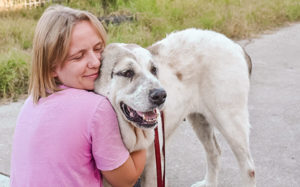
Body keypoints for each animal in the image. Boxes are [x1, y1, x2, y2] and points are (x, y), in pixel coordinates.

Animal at [94, 28, 255, 187]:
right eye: (127, 72)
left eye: (154, 70)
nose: (160, 95)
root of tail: (235, 45)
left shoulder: (154, 166)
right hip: (200, 120)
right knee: (214, 152)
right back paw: (209, 183)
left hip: (229, 122)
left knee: (249, 168)